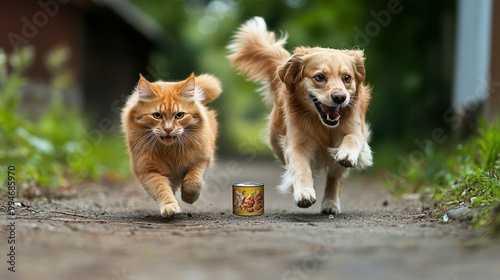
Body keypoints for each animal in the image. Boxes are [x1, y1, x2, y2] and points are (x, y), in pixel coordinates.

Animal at [121, 73, 221, 218]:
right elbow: (162, 190)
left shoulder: (201, 161)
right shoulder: (149, 171)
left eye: (179, 115)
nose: (168, 129)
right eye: (157, 115)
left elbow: (192, 182)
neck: (171, 150)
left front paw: (188, 198)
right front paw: (170, 206)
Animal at [227, 17, 372, 214]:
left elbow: (352, 138)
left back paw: (330, 203)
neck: (323, 125)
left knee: (335, 176)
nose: (340, 97)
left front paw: (347, 153)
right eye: (320, 77)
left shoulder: (356, 129)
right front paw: (303, 192)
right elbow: (300, 167)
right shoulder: (296, 144)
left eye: (347, 78)